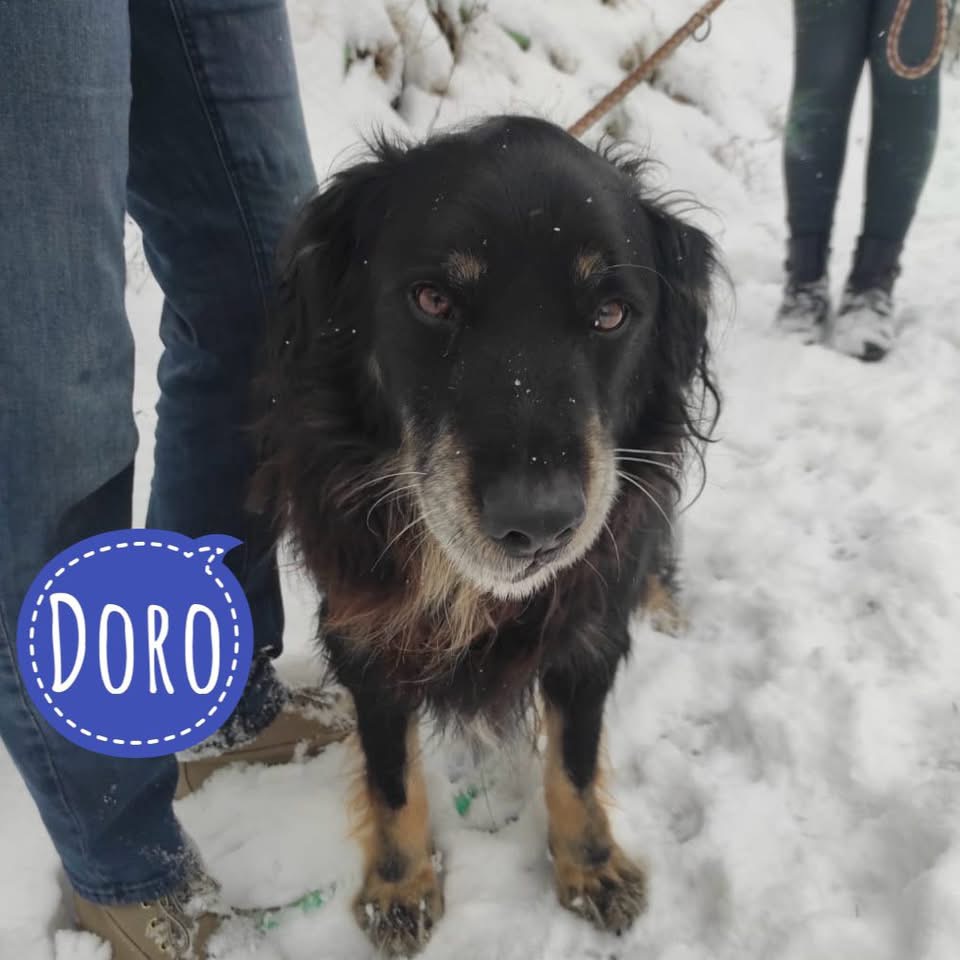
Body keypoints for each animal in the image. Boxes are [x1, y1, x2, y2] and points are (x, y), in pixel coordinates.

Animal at [252, 115, 718, 955]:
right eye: (433, 299)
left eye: (611, 313)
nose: (540, 523)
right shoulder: (364, 633)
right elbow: (391, 778)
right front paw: (399, 889)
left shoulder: (588, 628)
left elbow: (573, 760)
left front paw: (592, 866)